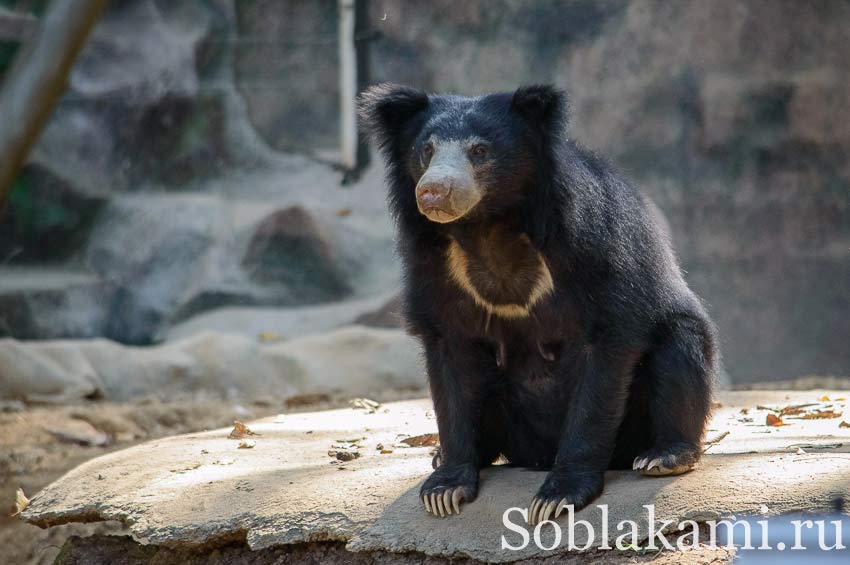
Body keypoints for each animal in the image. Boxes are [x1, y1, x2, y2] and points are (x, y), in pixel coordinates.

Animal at [358, 81, 716, 524]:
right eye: (426, 150)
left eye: (480, 151)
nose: (433, 192)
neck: (488, 227)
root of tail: (535, 454)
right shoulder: (434, 268)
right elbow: (450, 360)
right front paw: (445, 489)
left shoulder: (594, 246)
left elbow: (605, 352)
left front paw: (557, 497)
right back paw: (444, 454)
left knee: (680, 343)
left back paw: (665, 455)